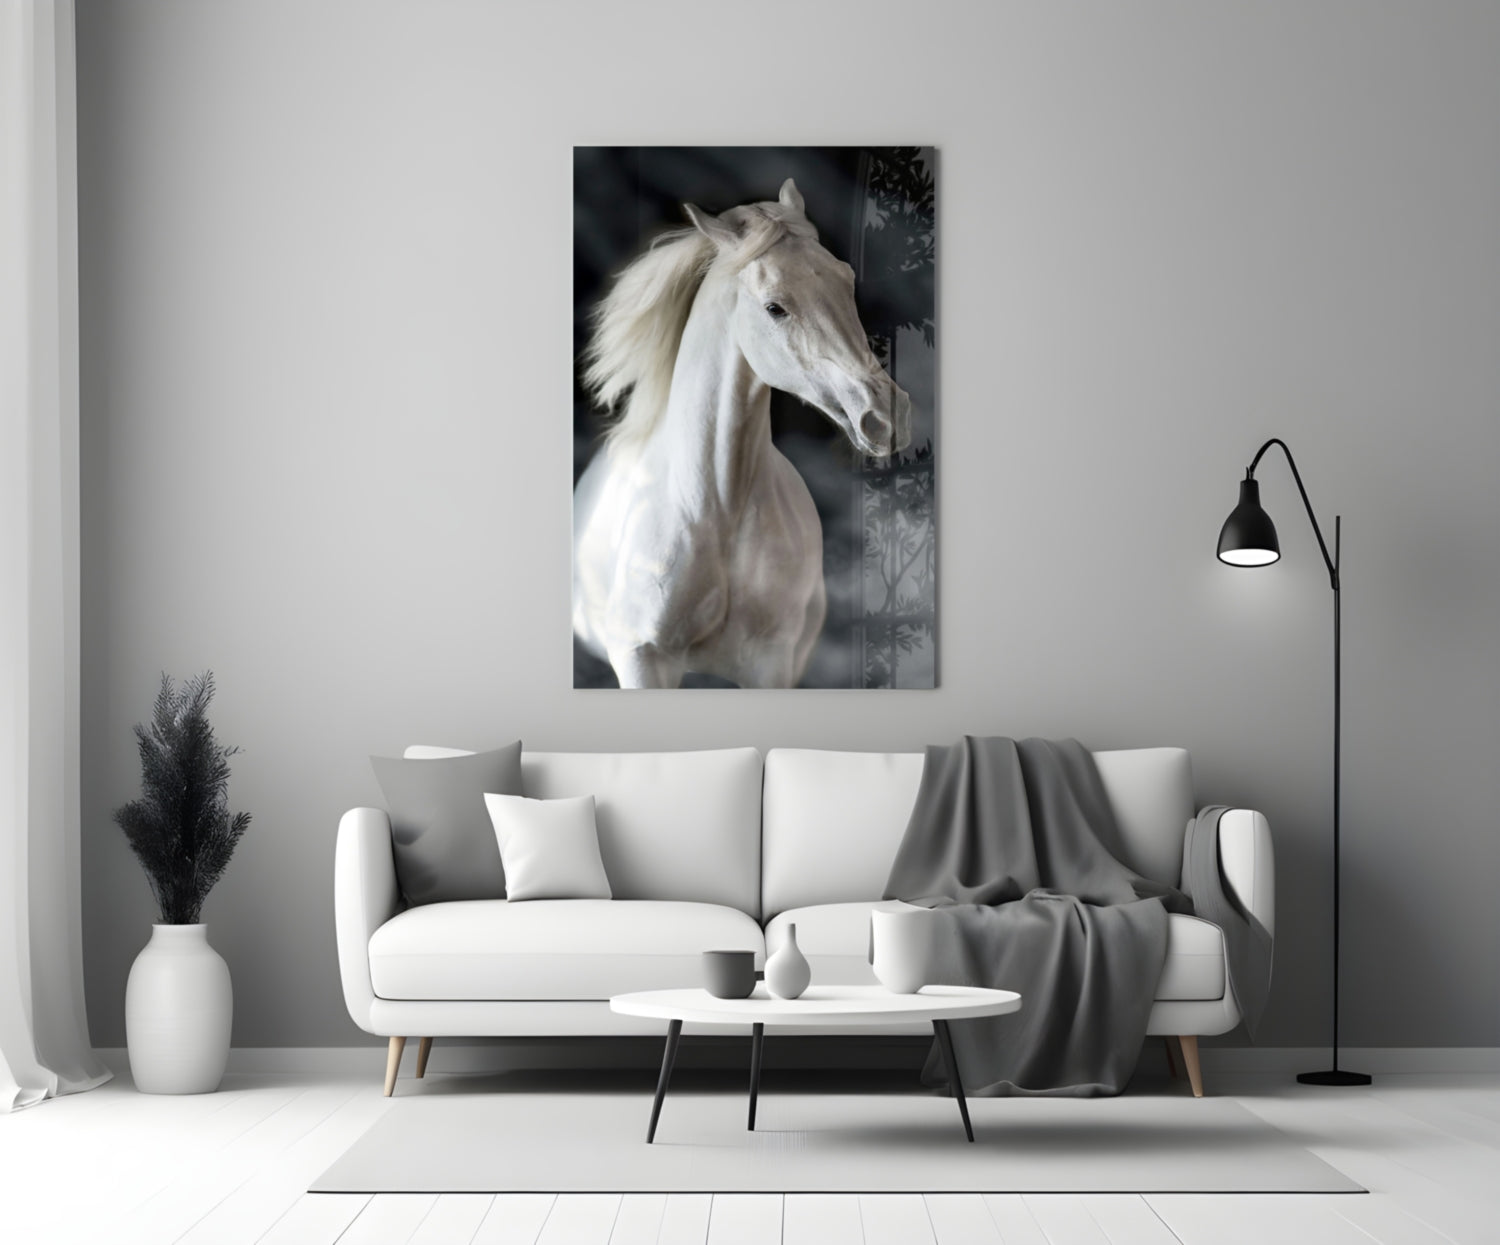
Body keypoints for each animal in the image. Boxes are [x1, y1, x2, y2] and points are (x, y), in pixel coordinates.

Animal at [573, 179, 912, 689]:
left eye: (846, 278)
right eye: (775, 307)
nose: (887, 416)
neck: (713, 512)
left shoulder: (771, 663)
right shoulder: (641, 660)